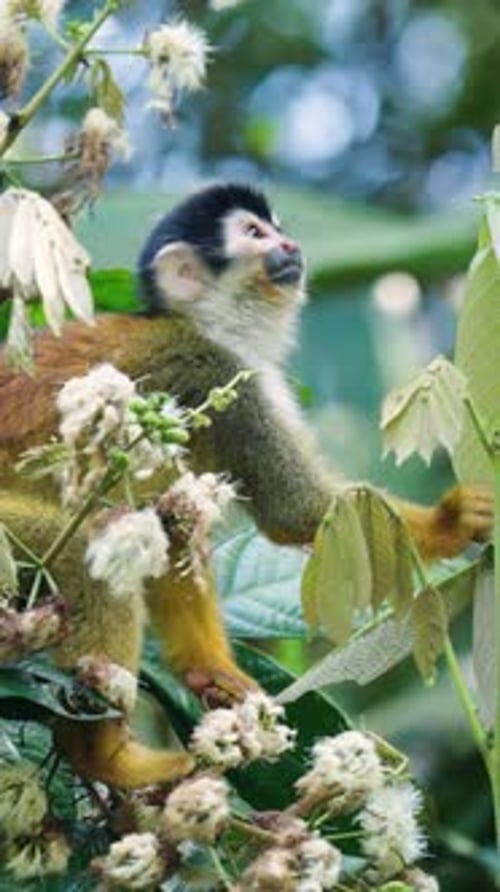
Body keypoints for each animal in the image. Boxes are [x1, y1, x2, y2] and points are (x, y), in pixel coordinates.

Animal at [0, 182, 493, 789]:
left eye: (277, 227)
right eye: (255, 234)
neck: (212, 324)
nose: (290, 244)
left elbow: (176, 527)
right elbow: (298, 510)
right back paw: (105, 753)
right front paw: (453, 519)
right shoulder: (222, 372)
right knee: (85, 550)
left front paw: (207, 671)